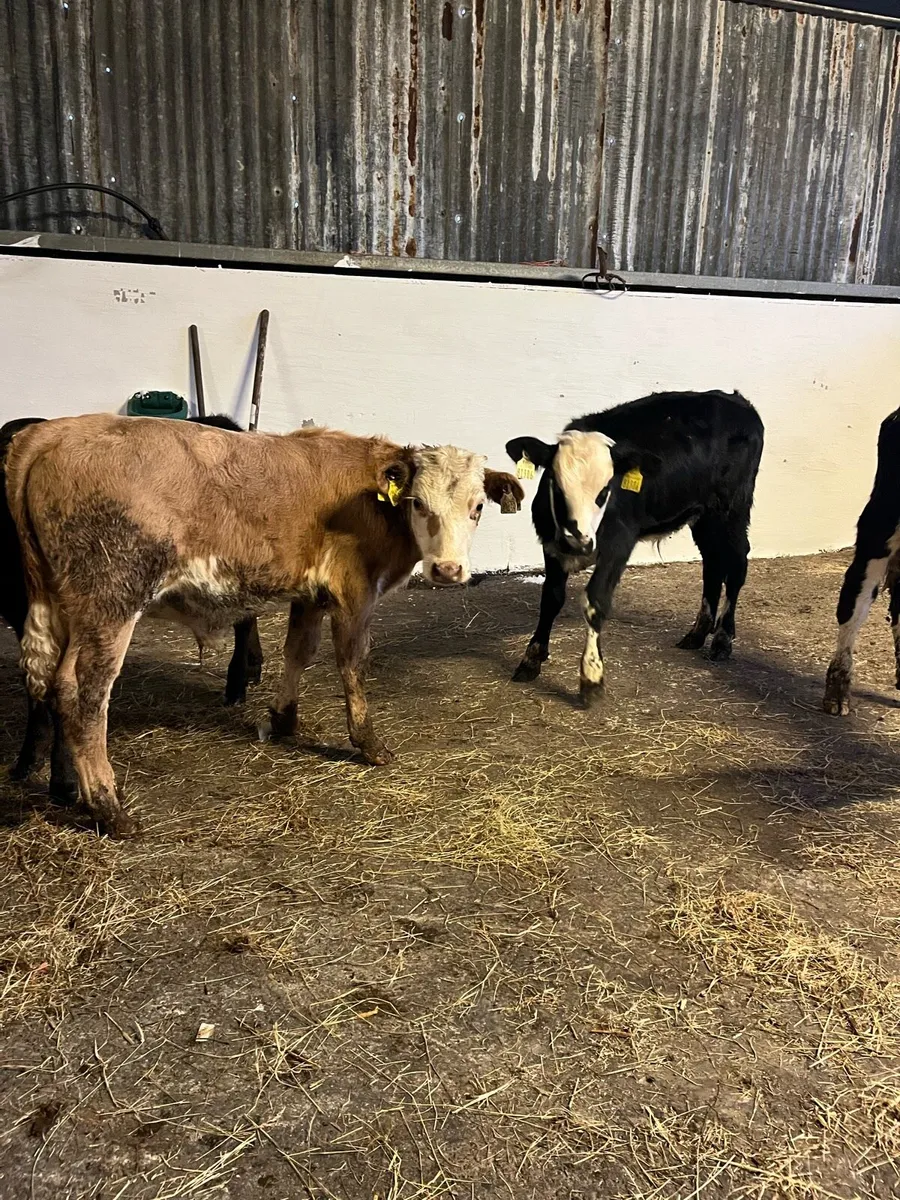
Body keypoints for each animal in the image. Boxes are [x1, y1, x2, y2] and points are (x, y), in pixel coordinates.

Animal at [506, 390, 764, 706]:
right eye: (556, 484)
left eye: (605, 491)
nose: (578, 540)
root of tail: (735, 399)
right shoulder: (552, 544)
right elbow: (551, 599)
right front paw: (532, 659)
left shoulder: (618, 543)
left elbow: (595, 601)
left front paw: (591, 678)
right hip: (704, 515)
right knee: (713, 566)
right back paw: (697, 633)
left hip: (732, 509)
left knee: (736, 565)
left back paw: (722, 640)